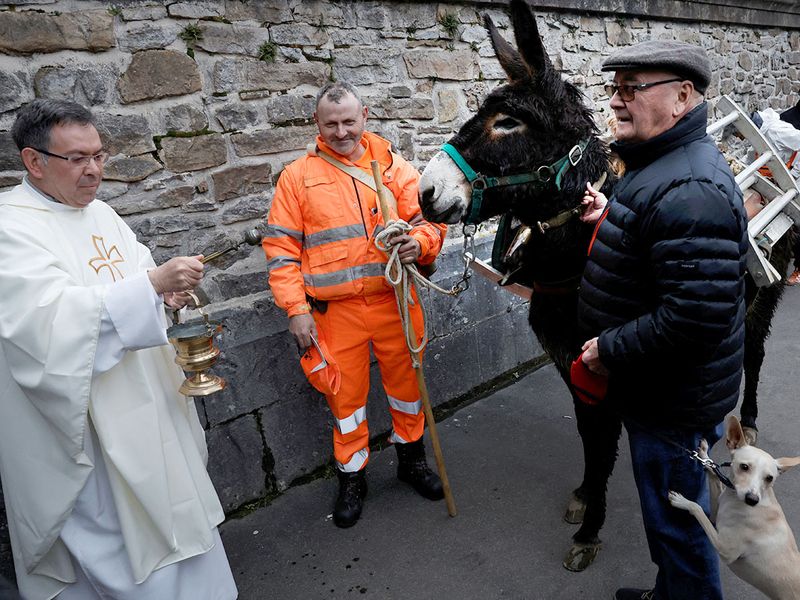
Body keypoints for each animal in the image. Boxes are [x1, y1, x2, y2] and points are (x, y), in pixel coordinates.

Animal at [668, 418, 800, 600]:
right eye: (744, 467)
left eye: (769, 478)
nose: (752, 500)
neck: (734, 496)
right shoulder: (716, 514)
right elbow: (714, 476)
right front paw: (705, 456)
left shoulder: (726, 550)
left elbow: (697, 507)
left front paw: (682, 501)